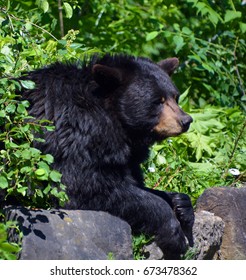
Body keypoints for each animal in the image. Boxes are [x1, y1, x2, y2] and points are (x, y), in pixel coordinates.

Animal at [19, 53, 194, 260]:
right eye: (158, 100)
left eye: (175, 97)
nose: (186, 120)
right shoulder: (74, 139)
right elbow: (87, 188)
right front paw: (175, 235)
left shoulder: (123, 154)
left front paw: (182, 205)